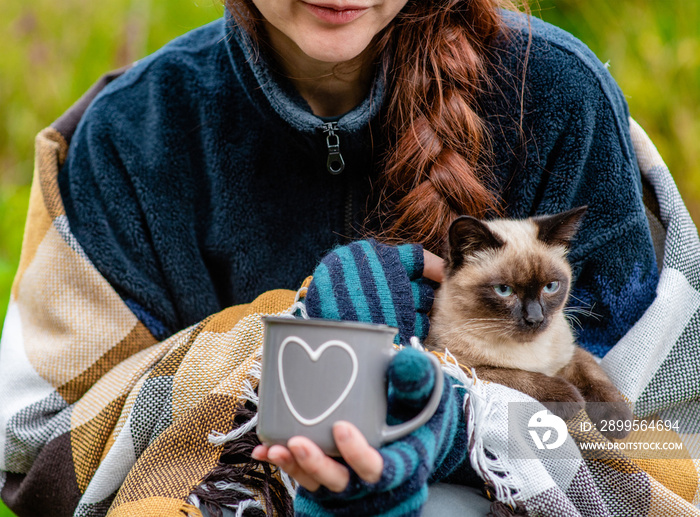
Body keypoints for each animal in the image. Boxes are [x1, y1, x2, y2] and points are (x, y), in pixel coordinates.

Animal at [426, 206, 636, 436]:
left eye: (550, 286)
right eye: (504, 290)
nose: (535, 318)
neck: (531, 351)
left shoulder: (571, 352)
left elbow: (593, 374)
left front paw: (616, 422)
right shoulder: (457, 364)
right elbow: (519, 376)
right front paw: (570, 397)